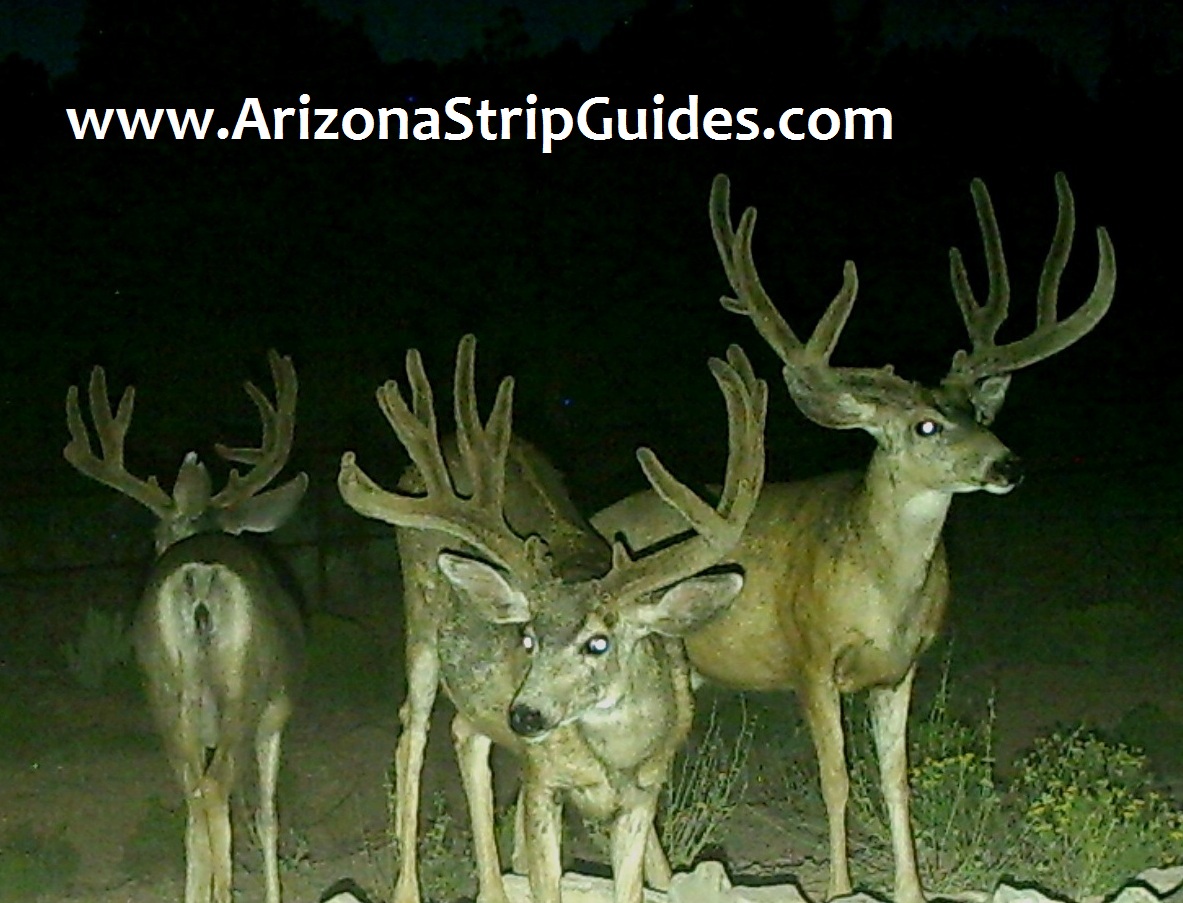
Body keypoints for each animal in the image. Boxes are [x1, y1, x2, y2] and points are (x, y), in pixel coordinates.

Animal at [64, 350, 308, 903]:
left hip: (163, 692)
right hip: (243, 690)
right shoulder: (276, 714)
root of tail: (198, 575)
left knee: (195, 800)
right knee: (214, 791)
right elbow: (267, 817)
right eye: (154, 533)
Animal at [336, 333, 766, 903]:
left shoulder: (643, 795)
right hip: (421, 623)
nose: (526, 716)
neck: (611, 755)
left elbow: (630, 886)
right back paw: (408, 887)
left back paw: (494, 887)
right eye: (529, 638)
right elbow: (547, 881)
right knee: (414, 733)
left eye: (598, 642)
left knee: (465, 732)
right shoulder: (542, 780)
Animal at [591, 173, 1116, 903]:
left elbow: (896, 782)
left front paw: (911, 888)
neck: (884, 590)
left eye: (978, 413)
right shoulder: (811, 659)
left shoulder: (900, 670)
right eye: (926, 425)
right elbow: (836, 780)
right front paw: (841, 887)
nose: (1006, 464)